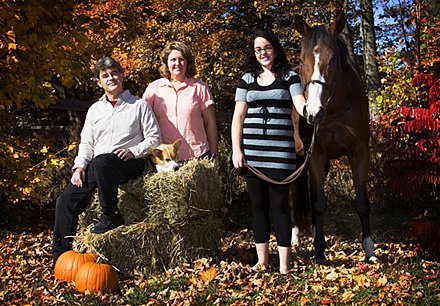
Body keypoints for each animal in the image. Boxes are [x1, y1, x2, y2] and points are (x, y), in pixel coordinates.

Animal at [292, 13, 378, 262]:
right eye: (302, 61)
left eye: (333, 61)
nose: (313, 113)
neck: (335, 109)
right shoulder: (315, 154)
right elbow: (320, 203)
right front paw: (320, 250)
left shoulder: (359, 151)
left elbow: (362, 203)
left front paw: (369, 250)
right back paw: (294, 237)